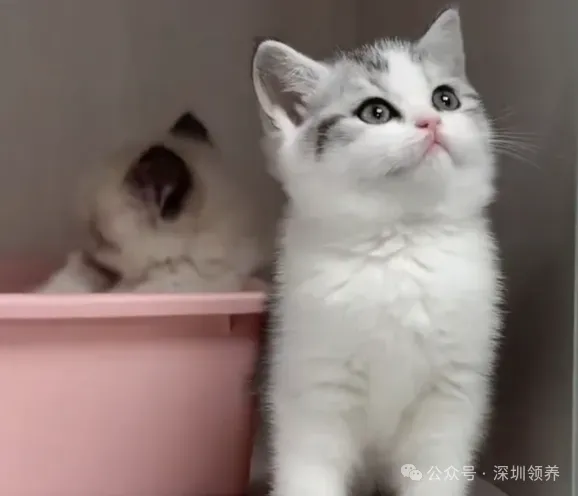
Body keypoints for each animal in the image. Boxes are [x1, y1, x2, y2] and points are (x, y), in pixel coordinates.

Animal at [251, 8, 502, 496]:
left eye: (445, 98)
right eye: (376, 112)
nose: (431, 122)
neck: (400, 242)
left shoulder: (451, 394)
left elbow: (436, 469)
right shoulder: (313, 389)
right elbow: (309, 471)